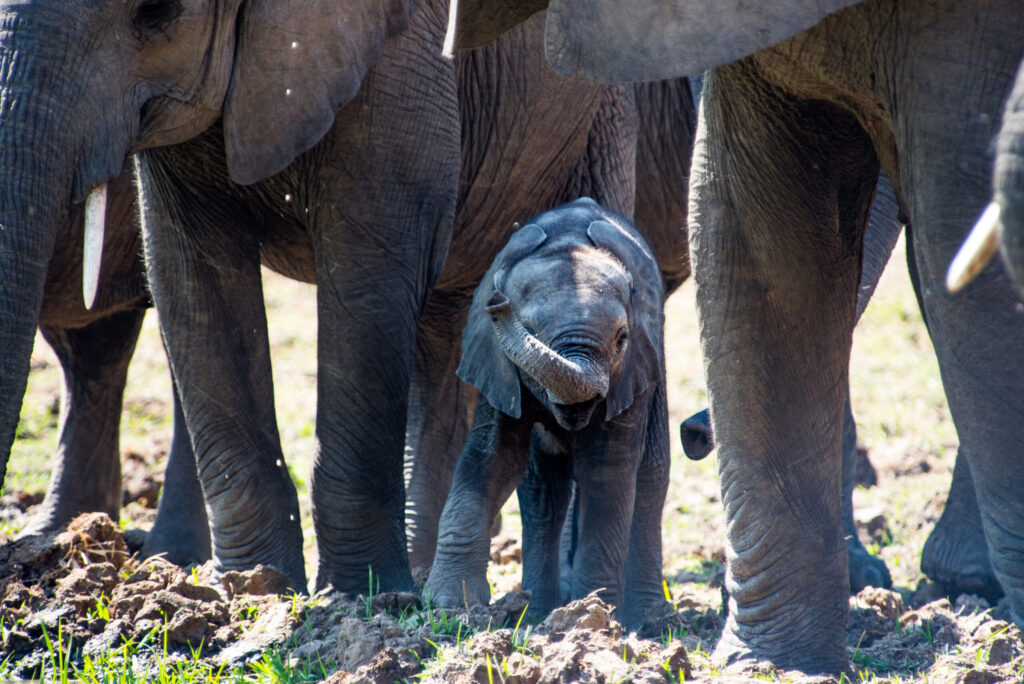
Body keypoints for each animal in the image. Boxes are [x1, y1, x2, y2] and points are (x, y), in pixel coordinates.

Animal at [423, 196, 671, 630]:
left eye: (622, 340)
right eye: (531, 331)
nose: (497, 302)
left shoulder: (633, 371)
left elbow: (606, 469)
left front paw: (593, 616)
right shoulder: (497, 365)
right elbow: (491, 458)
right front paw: (449, 606)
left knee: (651, 477)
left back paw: (648, 621)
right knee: (542, 492)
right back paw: (536, 612)